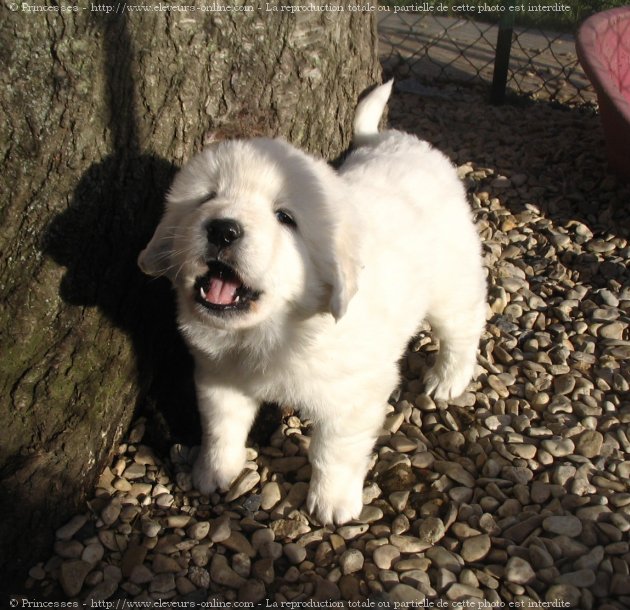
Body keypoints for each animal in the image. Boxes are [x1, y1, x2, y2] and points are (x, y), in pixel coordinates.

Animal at [138, 81, 486, 524]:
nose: (223, 229)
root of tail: (402, 141)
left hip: (451, 284)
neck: (273, 329)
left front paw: (332, 503)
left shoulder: (354, 395)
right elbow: (221, 428)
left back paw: (448, 378)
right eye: (206, 198)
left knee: (464, 326)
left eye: (285, 218)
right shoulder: (219, 377)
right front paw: (213, 472)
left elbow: (333, 451)